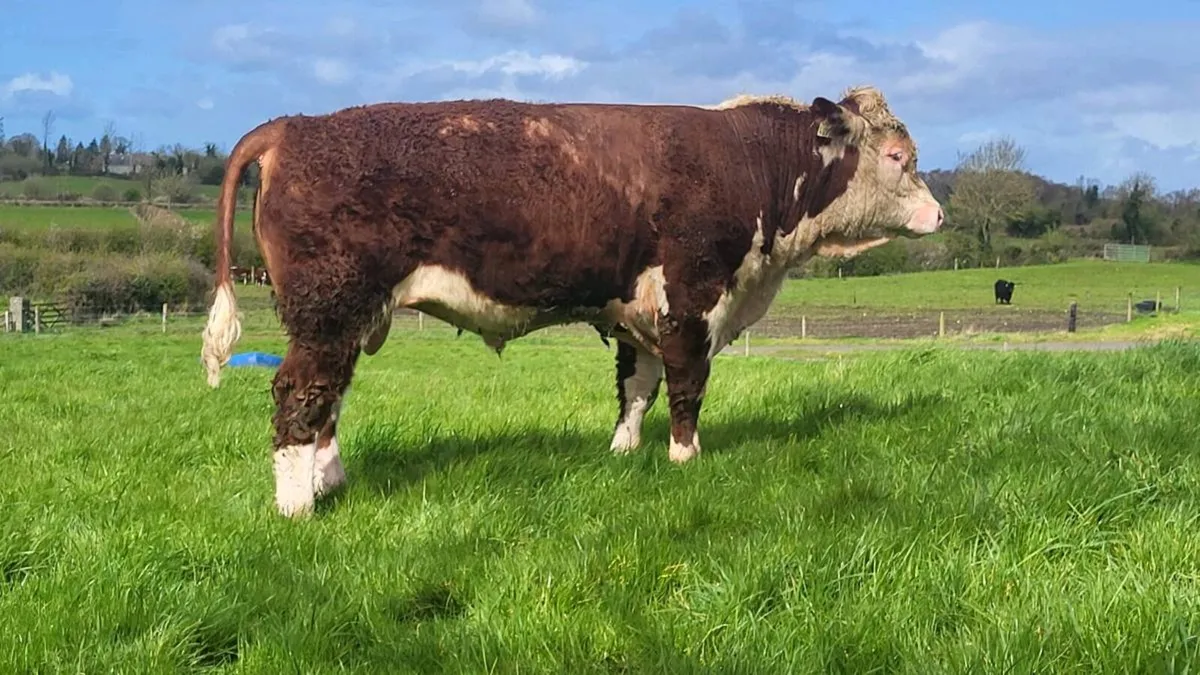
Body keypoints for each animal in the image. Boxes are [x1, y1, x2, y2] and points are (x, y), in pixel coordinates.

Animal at [200, 86, 944, 517]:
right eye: (899, 156)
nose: (939, 214)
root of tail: (293, 126)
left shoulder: (639, 312)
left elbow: (636, 385)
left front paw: (623, 452)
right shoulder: (694, 296)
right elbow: (687, 384)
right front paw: (685, 458)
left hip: (348, 316)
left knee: (328, 398)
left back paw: (331, 481)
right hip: (328, 307)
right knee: (299, 394)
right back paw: (298, 506)